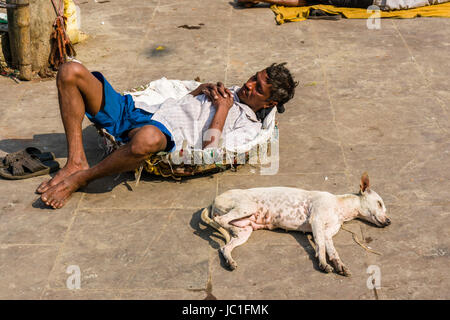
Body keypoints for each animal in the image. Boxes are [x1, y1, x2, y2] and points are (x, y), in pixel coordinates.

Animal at [201, 171, 390, 276]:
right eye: (380, 203)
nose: (389, 221)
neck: (340, 206)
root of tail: (214, 200)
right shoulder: (316, 222)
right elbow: (321, 246)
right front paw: (323, 263)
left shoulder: (328, 233)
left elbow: (333, 251)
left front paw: (339, 266)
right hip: (247, 207)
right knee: (219, 221)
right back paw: (225, 229)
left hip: (245, 230)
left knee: (224, 247)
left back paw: (229, 259)